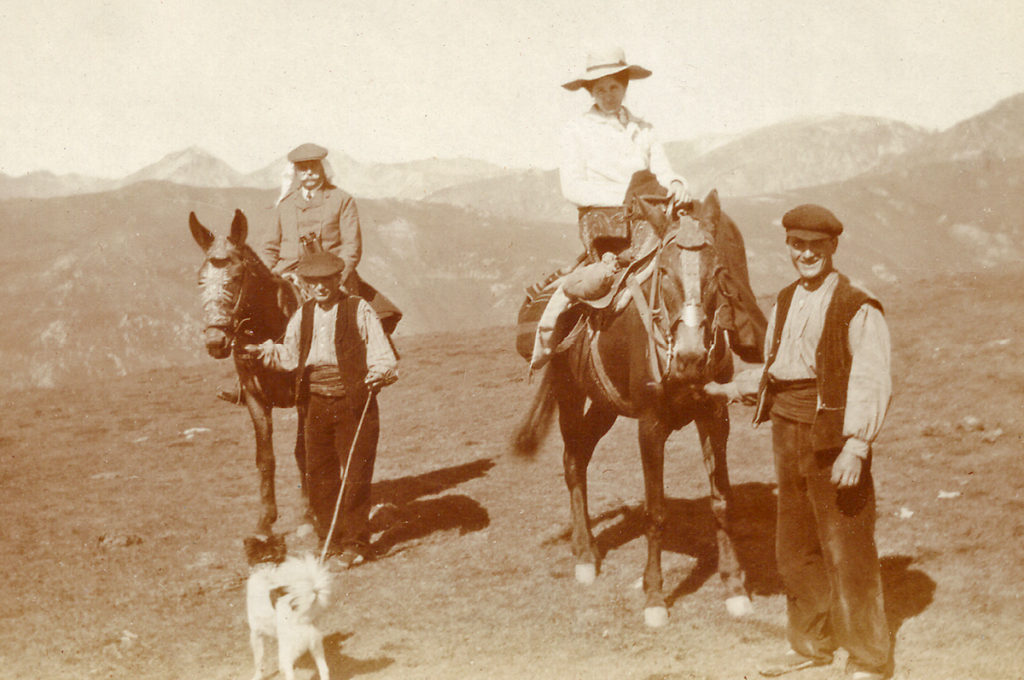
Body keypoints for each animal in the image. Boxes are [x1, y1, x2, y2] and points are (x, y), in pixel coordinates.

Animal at [188, 209, 307, 540]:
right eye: (200, 280)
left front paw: (309, 514)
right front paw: (264, 522)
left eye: (237, 276)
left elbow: (303, 451)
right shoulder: (255, 400)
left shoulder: (305, 399)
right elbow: (265, 459)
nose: (215, 341)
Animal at [244, 536, 333, 680]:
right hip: (316, 645)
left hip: (287, 649)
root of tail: (302, 616)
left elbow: (259, 661)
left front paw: (257, 676)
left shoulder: (256, 633)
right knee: (324, 669)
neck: (267, 570)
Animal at [516, 191, 765, 626]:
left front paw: (735, 588)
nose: (690, 357)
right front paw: (654, 597)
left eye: (719, 270)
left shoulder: (715, 418)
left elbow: (722, 501)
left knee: (581, 455)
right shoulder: (650, 426)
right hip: (569, 393)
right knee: (571, 462)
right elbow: (655, 512)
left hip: (605, 405)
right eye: (663, 272)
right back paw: (585, 556)